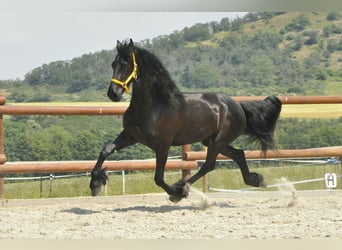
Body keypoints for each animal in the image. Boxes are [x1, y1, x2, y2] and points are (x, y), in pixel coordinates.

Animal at [89, 39, 282, 203]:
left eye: (126, 64)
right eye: (113, 64)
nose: (113, 94)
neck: (153, 106)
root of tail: (238, 105)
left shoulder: (163, 145)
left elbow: (158, 177)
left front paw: (175, 193)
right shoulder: (131, 136)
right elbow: (106, 150)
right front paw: (95, 184)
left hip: (217, 142)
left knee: (209, 165)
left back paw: (182, 188)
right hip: (212, 141)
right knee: (238, 154)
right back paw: (256, 180)